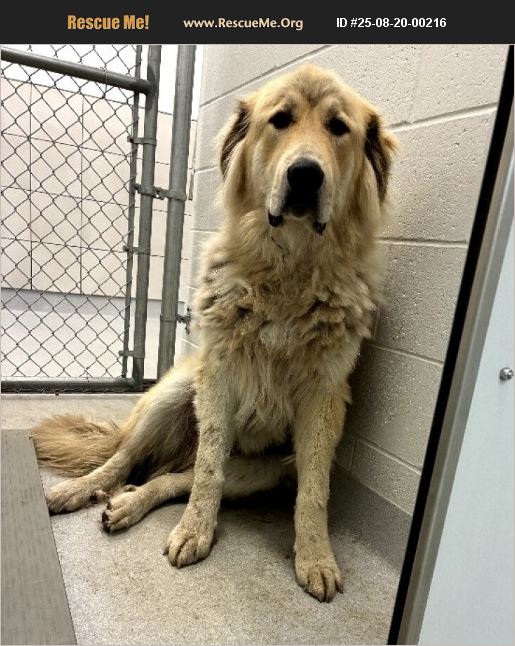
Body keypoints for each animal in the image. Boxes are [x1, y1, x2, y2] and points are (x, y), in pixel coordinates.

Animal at [33, 64, 397, 603]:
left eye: (338, 128)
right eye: (280, 120)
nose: (305, 175)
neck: (289, 270)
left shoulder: (323, 400)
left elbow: (314, 492)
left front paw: (315, 556)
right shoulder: (219, 379)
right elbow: (207, 467)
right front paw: (194, 531)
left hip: (262, 469)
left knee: (170, 477)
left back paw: (129, 503)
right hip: (177, 392)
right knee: (128, 458)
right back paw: (82, 490)